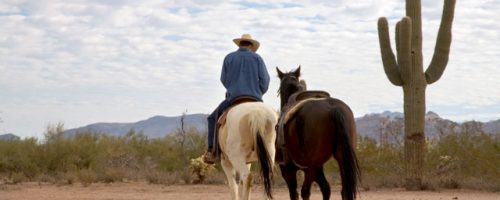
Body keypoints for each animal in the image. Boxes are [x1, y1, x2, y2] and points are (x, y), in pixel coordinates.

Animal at [276, 67, 362, 200]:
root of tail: (333, 108)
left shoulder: (288, 170)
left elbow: (294, 193)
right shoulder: (317, 168)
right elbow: (326, 188)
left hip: (312, 165)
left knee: (305, 191)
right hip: (341, 158)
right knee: (343, 191)